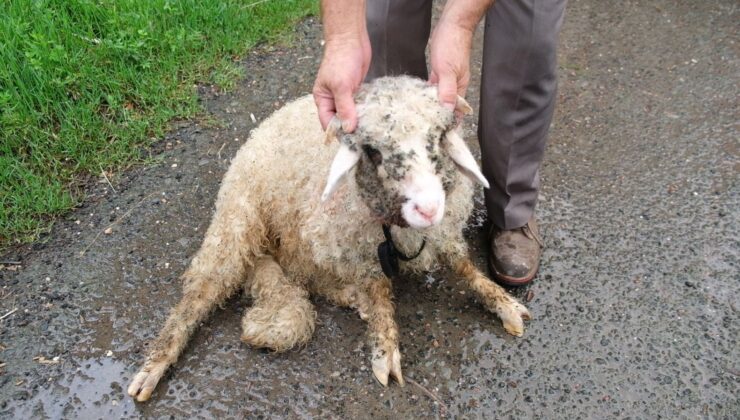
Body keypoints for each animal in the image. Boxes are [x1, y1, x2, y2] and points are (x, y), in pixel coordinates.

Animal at [129, 76, 532, 404]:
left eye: (438, 136)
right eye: (373, 151)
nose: (428, 208)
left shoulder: (442, 233)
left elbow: (464, 267)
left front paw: (503, 302)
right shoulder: (359, 250)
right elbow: (379, 294)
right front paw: (385, 349)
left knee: (299, 273)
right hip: (239, 220)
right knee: (204, 290)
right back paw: (154, 365)